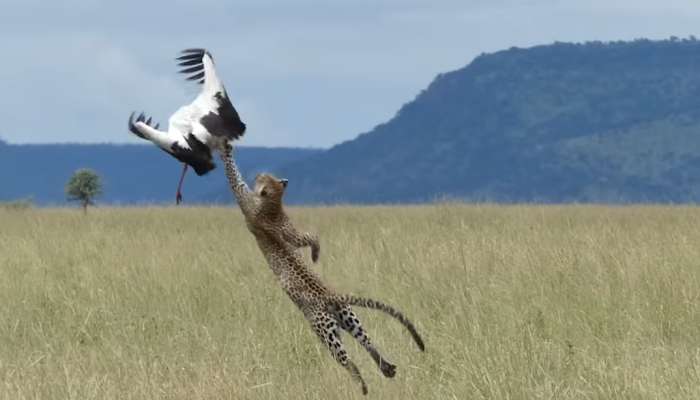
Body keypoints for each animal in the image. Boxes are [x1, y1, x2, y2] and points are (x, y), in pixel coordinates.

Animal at [221, 145, 424, 396]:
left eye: (264, 178)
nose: (259, 173)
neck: (273, 203)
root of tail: (330, 296)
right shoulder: (289, 230)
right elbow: (306, 237)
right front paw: (315, 252)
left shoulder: (244, 198)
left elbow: (233, 175)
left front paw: (225, 150)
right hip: (346, 317)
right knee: (366, 341)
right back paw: (386, 367)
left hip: (324, 332)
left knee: (348, 361)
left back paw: (364, 386)